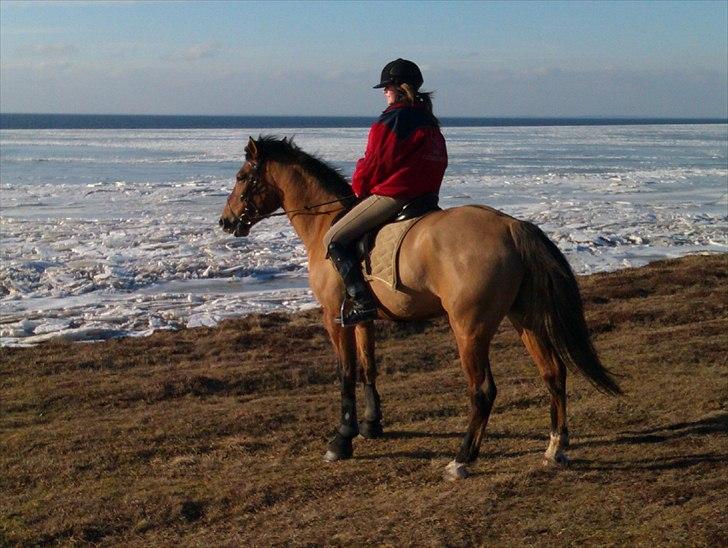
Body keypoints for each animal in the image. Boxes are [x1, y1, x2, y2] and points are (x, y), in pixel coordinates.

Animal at [218, 135, 620, 478]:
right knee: (553, 372)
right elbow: (368, 367)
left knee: (483, 390)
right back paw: (555, 449)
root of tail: (511, 226)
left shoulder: (335, 318)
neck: (324, 225)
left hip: (469, 329)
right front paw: (372, 425)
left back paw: (461, 460)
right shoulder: (362, 319)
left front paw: (342, 439)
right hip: (525, 318)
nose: (226, 221)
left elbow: (346, 373)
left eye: (241, 176)